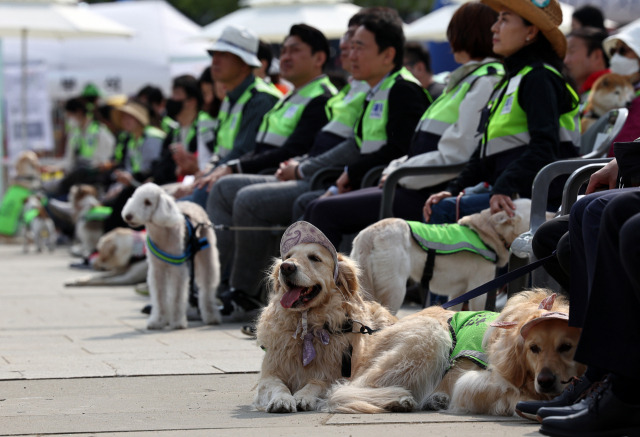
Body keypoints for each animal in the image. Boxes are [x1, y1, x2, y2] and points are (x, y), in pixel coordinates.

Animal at [122, 182, 222, 328]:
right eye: (134, 198)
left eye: (148, 202)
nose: (128, 216)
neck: (162, 234)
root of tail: (194, 204)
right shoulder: (157, 270)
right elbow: (159, 295)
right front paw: (158, 321)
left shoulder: (178, 269)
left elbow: (177, 296)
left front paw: (177, 322)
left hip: (206, 252)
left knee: (207, 286)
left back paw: (211, 317)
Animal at [254, 221, 396, 412]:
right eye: (288, 257)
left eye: (315, 258)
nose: (286, 267)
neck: (308, 326)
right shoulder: (269, 374)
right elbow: (277, 386)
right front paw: (281, 399)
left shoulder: (337, 376)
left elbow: (317, 383)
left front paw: (303, 396)